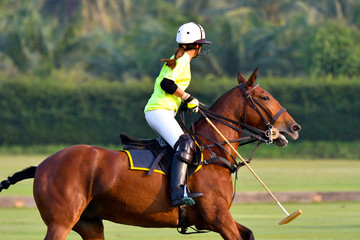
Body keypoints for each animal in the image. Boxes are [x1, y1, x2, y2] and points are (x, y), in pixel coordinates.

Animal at [0, 68, 300, 239]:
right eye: (264, 97)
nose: (294, 128)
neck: (212, 150)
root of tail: (41, 166)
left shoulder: (215, 219)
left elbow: (248, 233)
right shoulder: (217, 217)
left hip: (90, 223)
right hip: (61, 221)